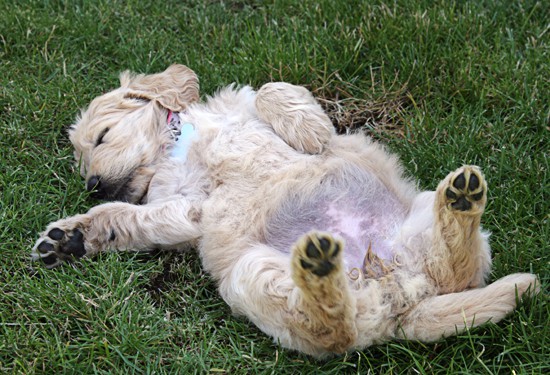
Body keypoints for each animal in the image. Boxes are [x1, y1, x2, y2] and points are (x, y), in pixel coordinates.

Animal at [32, 65, 540, 358]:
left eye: (102, 137)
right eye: (82, 167)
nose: (92, 184)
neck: (179, 146)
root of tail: (398, 301)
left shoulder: (242, 110)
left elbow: (271, 91)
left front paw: (309, 132)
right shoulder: (184, 210)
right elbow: (129, 216)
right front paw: (72, 237)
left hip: (420, 220)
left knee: (458, 268)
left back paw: (460, 200)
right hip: (250, 273)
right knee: (335, 330)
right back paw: (321, 266)